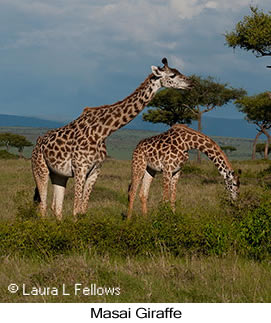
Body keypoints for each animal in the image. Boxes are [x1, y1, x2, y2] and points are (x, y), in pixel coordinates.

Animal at [32, 58, 193, 220]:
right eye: (172, 75)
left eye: (178, 71)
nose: (191, 83)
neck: (102, 132)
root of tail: (37, 144)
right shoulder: (80, 168)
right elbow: (76, 209)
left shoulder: (95, 170)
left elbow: (83, 209)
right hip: (40, 169)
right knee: (42, 206)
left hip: (59, 175)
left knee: (56, 207)